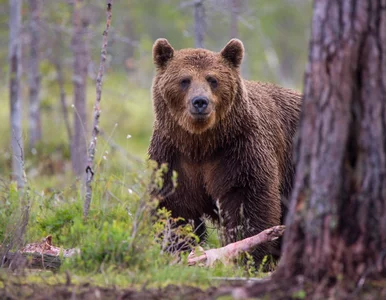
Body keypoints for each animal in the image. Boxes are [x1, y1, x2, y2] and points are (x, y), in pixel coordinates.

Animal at [148, 38, 302, 268]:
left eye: (213, 79)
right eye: (184, 80)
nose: (200, 102)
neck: (201, 144)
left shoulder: (238, 150)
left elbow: (247, 201)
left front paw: (249, 256)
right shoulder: (173, 156)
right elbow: (173, 206)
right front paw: (177, 249)